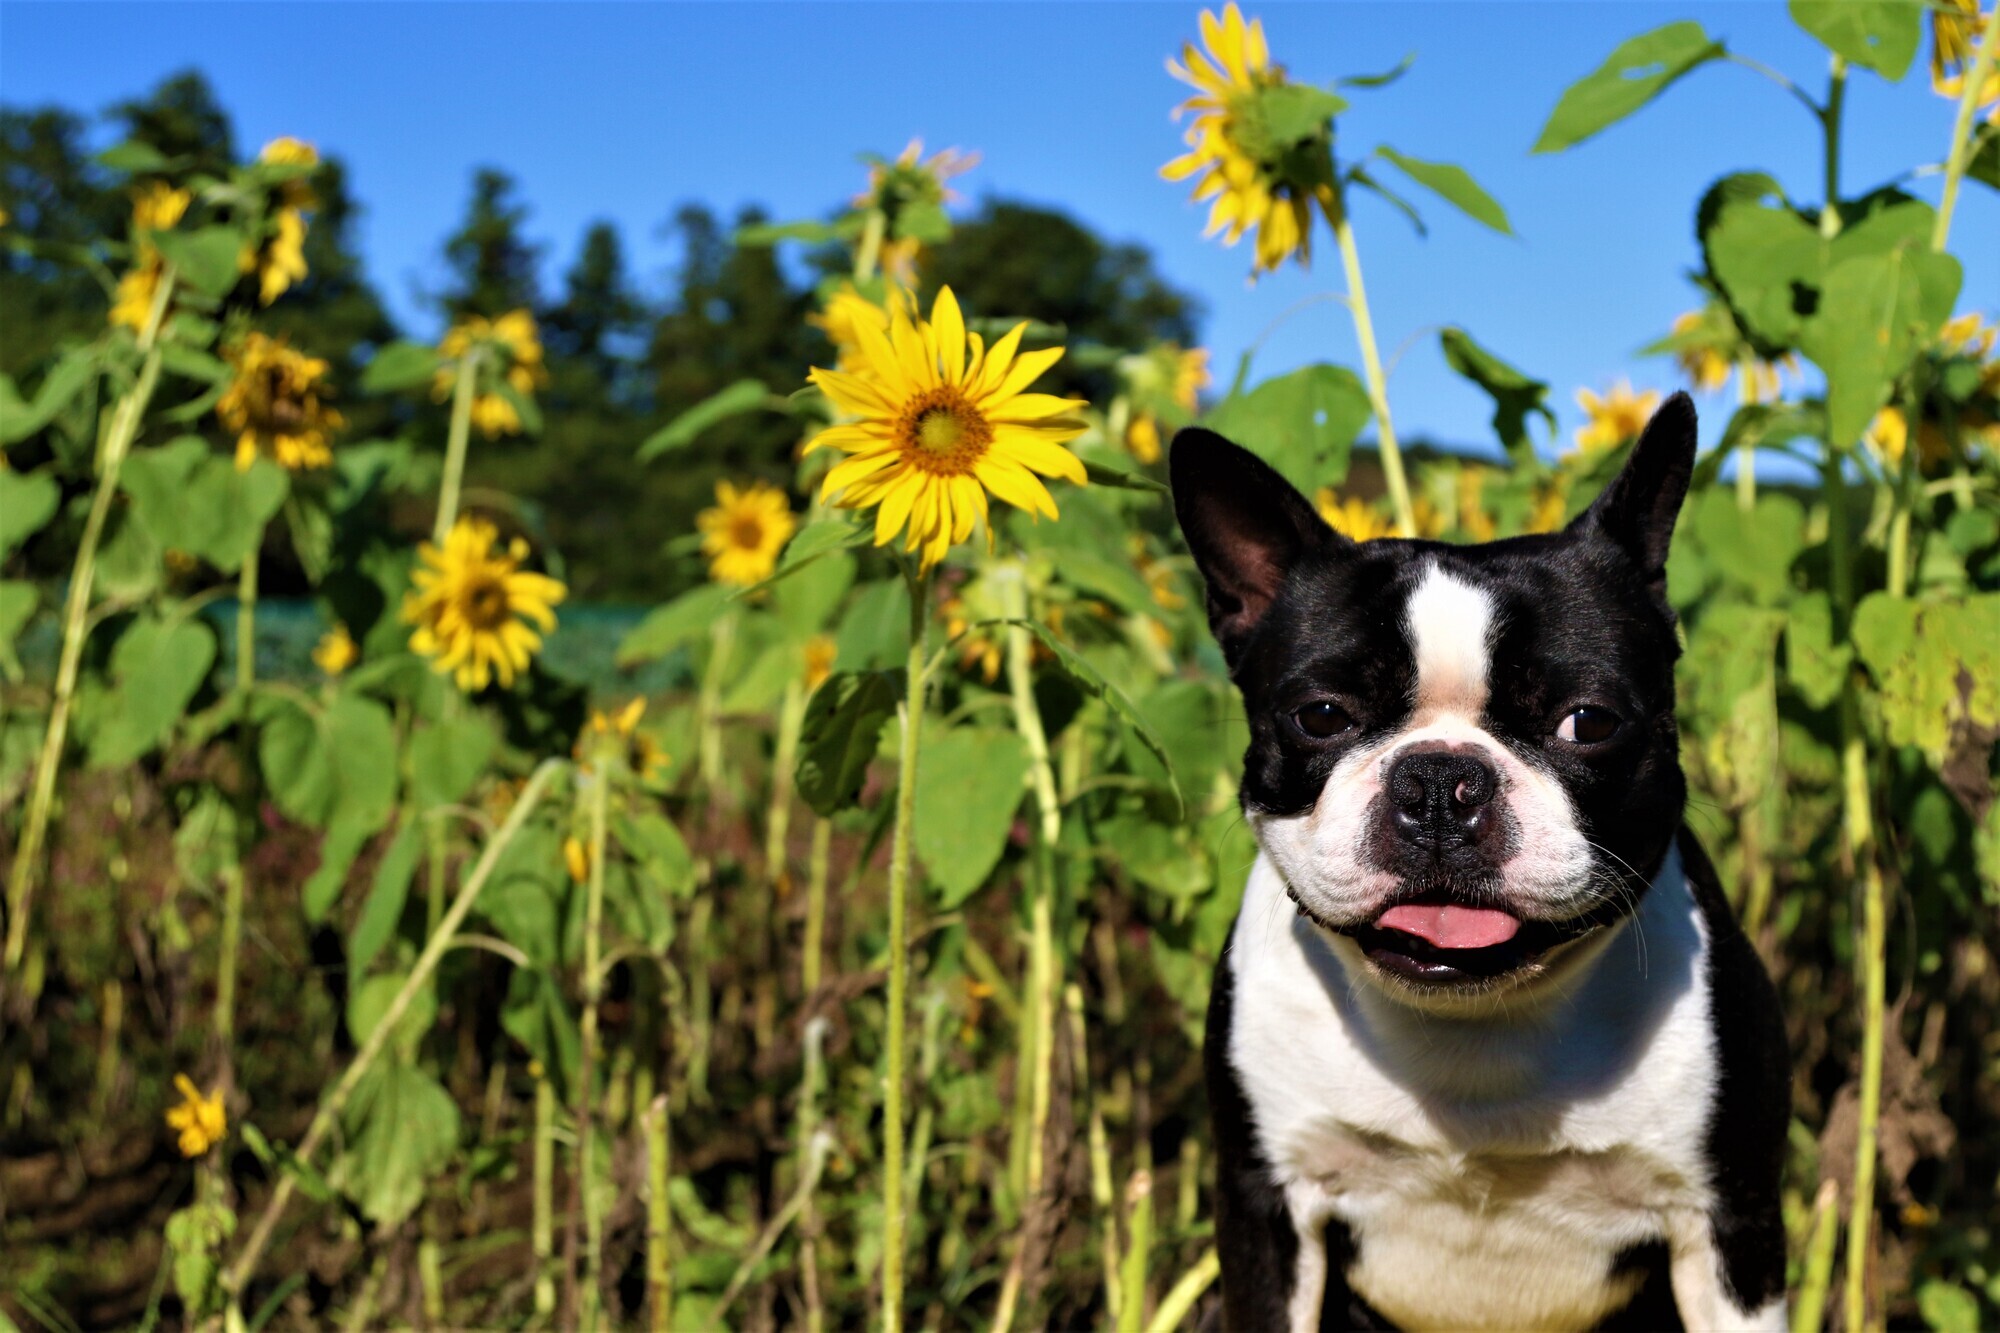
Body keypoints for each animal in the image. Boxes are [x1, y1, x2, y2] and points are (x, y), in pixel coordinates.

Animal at [1168, 394, 1792, 1328]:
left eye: (1588, 721)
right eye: (1321, 715)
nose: (1439, 782)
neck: (1472, 1024)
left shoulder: (1731, 1221)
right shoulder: (1265, 1205)